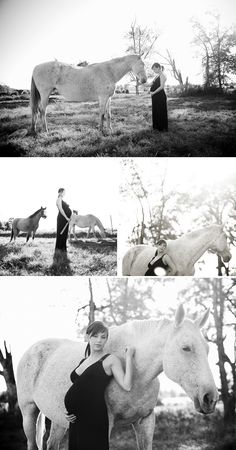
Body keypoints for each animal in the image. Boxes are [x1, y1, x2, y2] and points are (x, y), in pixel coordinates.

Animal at [17, 302, 219, 450]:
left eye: (207, 349)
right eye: (186, 348)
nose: (210, 398)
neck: (137, 375)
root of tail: (31, 349)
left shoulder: (146, 421)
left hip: (60, 419)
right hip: (28, 412)